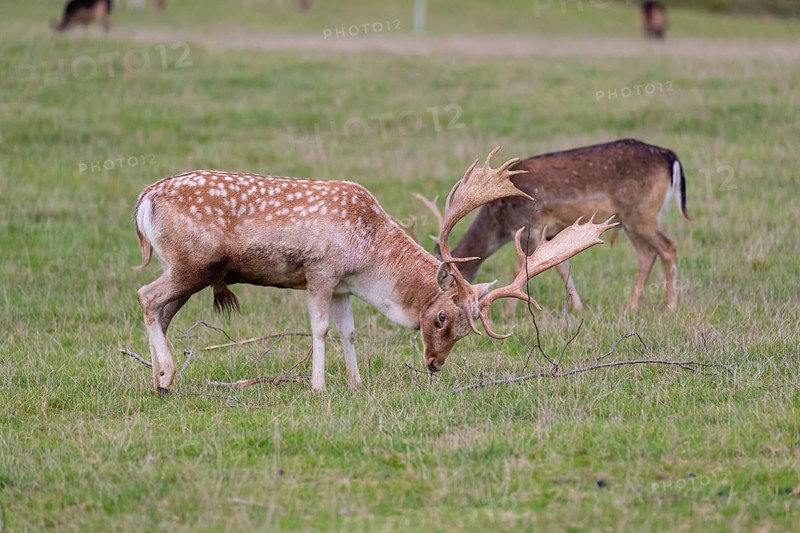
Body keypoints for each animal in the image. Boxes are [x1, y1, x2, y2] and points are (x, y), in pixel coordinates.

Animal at [132, 148, 618, 393]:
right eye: (441, 316)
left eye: (465, 332)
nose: (434, 365)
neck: (367, 258)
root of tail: (143, 201)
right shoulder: (320, 271)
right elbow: (321, 329)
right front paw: (318, 387)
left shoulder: (344, 287)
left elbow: (349, 332)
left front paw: (355, 381)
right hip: (191, 262)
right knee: (146, 296)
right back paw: (165, 377)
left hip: (185, 269)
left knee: (161, 309)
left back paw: (159, 380)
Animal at [415, 139, 689, 312]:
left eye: (444, 283)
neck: (499, 223)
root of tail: (671, 157)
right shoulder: (551, 231)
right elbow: (561, 267)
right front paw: (578, 308)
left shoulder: (531, 225)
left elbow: (521, 267)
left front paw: (508, 313)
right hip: (630, 219)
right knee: (647, 254)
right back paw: (632, 307)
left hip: (642, 214)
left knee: (668, 247)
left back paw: (670, 306)